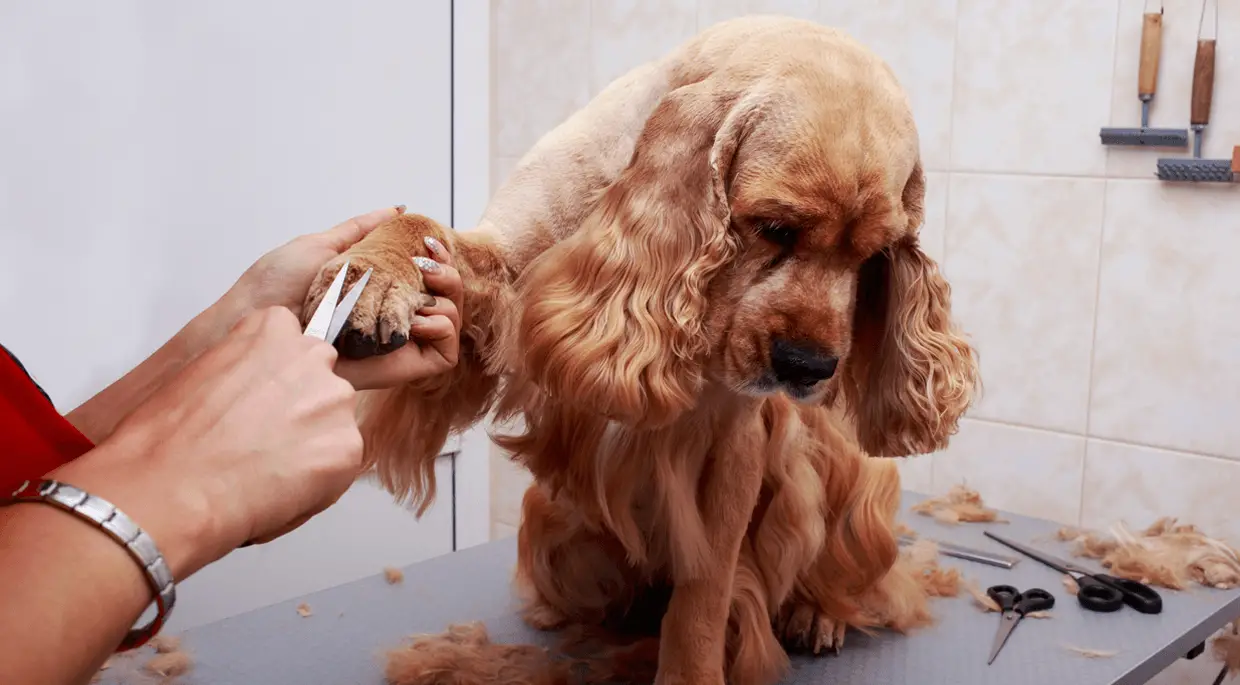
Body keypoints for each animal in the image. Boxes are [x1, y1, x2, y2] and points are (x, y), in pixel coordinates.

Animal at [302, 14, 977, 685]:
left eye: (875, 256)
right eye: (775, 227)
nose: (810, 368)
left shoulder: (732, 439)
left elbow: (704, 592)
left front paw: (692, 669)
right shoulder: (507, 260)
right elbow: (420, 226)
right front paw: (371, 274)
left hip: (855, 476)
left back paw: (818, 614)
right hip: (553, 521)